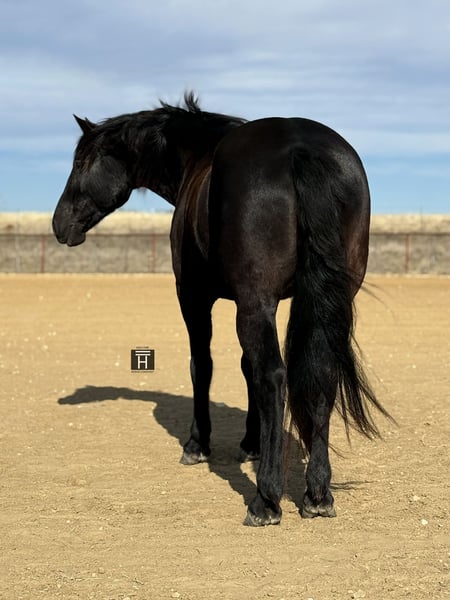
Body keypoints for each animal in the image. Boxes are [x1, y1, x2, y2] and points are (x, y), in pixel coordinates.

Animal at [53, 92, 390, 526]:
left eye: (80, 162)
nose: (58, 224)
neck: (198, 157)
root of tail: (300, 147)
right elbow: (247, 368)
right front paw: (251, 442)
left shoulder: (196, 297)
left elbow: (204, 365)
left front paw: (198, 444)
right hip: (327, 301)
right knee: (320, 373)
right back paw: (317, 493)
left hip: (252, 304)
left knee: (273, 376)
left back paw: (266, 499)